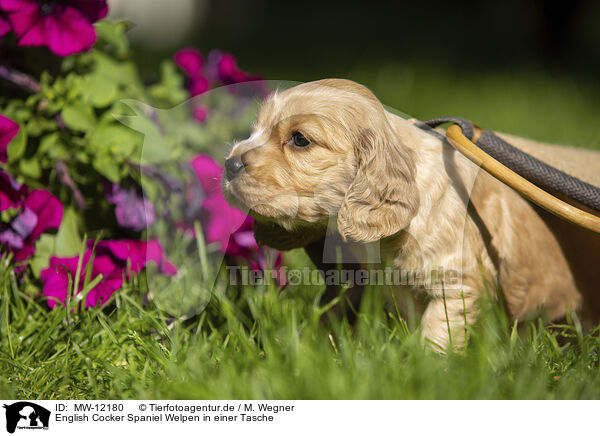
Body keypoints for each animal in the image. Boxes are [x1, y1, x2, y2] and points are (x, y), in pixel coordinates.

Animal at [221, 78, 600, 348]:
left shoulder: (457, 283)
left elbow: (436, 335)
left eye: (300, 139)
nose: (230, 164)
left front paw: (428, 369)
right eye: (254, 130)